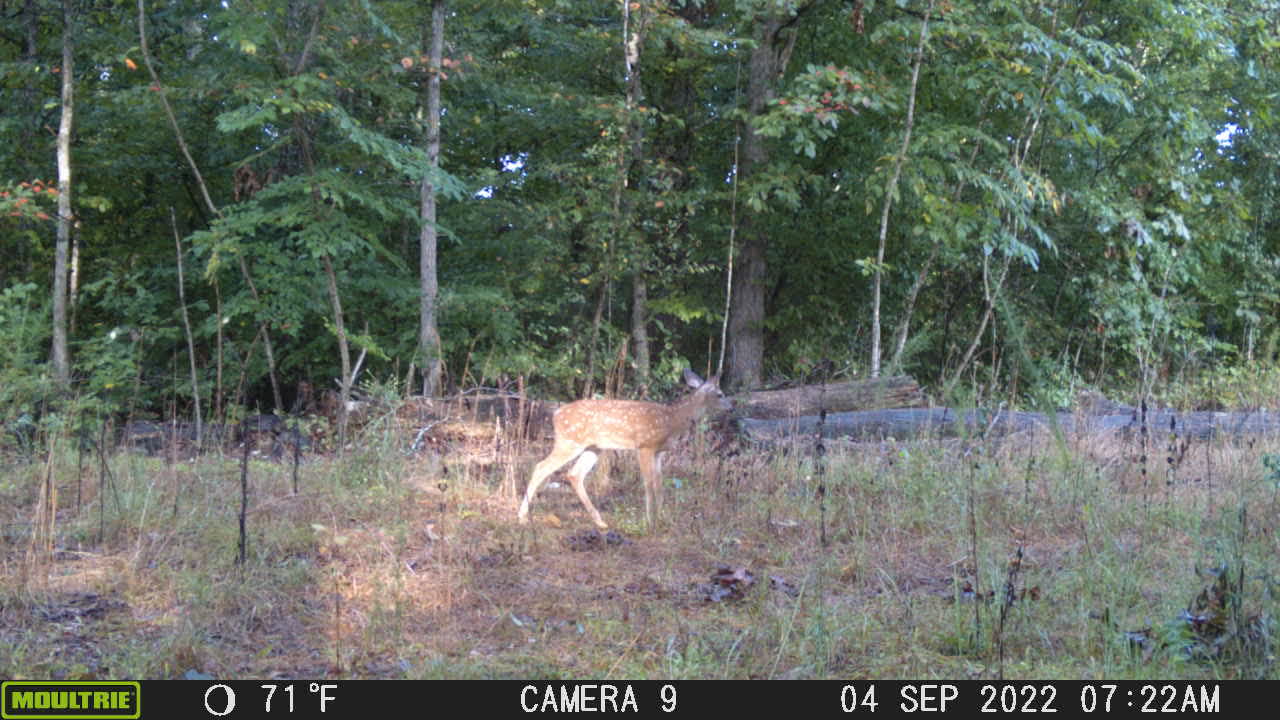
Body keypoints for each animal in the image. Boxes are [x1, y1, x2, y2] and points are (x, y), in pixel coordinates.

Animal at [517, 368, 737, 527]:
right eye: (720, 394)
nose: (732, 407)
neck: (673, 420)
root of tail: (556, 414)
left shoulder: (659, 452)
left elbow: (659, 484)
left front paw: (662, 518)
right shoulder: (645, 446)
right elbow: (649, 484)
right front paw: (649, 521)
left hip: (593, 447)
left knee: (574, 474)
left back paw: (600, 521)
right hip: (569, 441)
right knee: (541, 467)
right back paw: (521, 516)